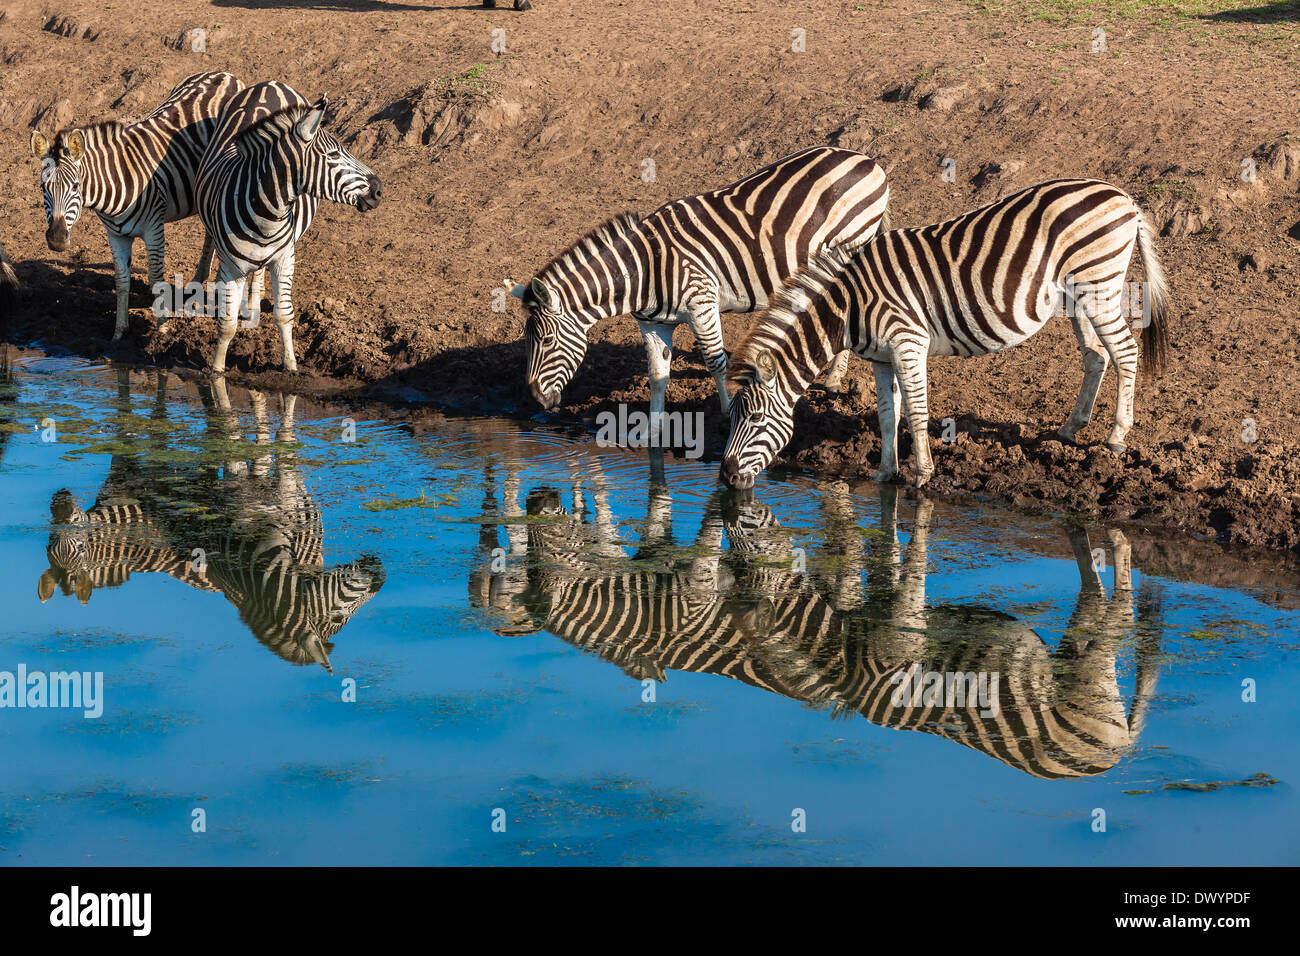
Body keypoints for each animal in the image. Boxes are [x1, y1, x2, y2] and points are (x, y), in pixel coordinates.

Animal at [28, 71, 244, 340]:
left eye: (76, 186)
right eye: (42, 187)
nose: (57, 239)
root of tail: (224, 74)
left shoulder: (154, 228)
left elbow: (155, 278)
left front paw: (162, 327)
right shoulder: (115, 235)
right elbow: (121, 281)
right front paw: (119, 332)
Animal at [195, 79, 382, 374]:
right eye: (332, 154)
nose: (378, 189)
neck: (266, 218)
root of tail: (271, 83)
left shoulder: (285, 259)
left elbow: (284, 315)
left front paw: (291, 365)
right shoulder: (231, 268)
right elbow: (226, 324)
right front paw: (217, 370)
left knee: (258, 274)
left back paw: (252, 304)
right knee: (209, 239)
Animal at [512, 146, 889, 418]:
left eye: (546, 341)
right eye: (527, 340)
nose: (535, 399)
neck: (643, 269)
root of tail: (865, 159)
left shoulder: (701, 303)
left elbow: (716, 361)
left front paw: (726, 411)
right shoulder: (653, 324)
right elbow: (657, 373)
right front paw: (654, 428)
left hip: (851, 242)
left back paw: (835, 379)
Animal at [717, 178, 1175, 489]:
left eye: (755, 418)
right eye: (733, 417)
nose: (724, 477)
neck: (849, 306)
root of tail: (1123, 197)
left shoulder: (908, 342)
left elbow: (917, 413)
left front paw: (922, 475)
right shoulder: (881, 357)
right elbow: (888, 415)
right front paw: (885, 473)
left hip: (1099, 283)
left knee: (1125, 352)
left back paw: (1116, 437)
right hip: (1076, 294)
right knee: (1097, 355)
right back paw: (1069, 429)